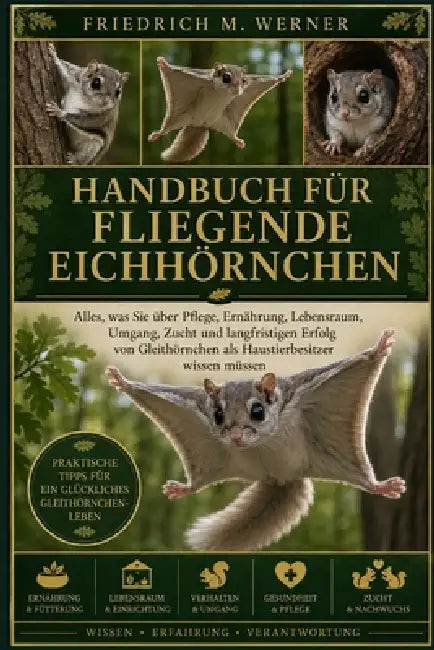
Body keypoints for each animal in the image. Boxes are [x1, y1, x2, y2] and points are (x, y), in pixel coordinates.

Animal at [106, 329, 406, 551]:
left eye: (258, 411)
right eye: (217, 415)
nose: (236, 435)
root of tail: (281, 479)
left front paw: (379, 348)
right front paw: (122, 381)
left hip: (338, 459)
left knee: (362, 479)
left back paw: (381, 486)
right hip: (212, 466)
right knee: (199, 483)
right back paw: (184, 489)